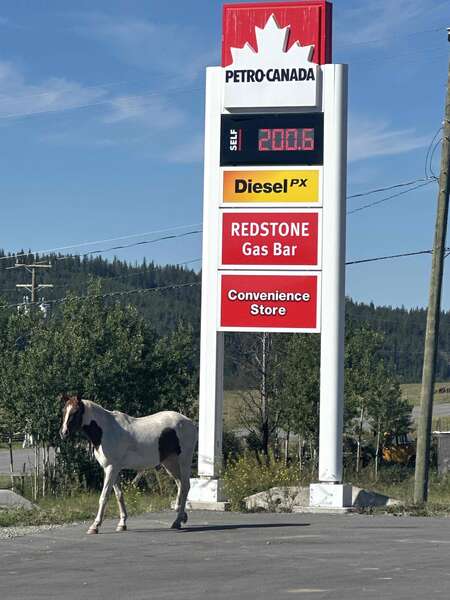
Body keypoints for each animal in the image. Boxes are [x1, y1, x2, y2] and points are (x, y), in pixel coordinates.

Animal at [59, 394, 197, 536]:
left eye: (75, 412)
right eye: (64, 411)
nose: (63, 433)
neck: (105, 430)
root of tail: (189, 422)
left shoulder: (111, 468)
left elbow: (104, 496)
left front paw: (95, 526)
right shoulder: (113, 469)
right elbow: (119, 495)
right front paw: (122, 524)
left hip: (184, 461)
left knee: (185, 486)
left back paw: (178, 520)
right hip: (170, 463)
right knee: (180, 484)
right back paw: (180, 515)